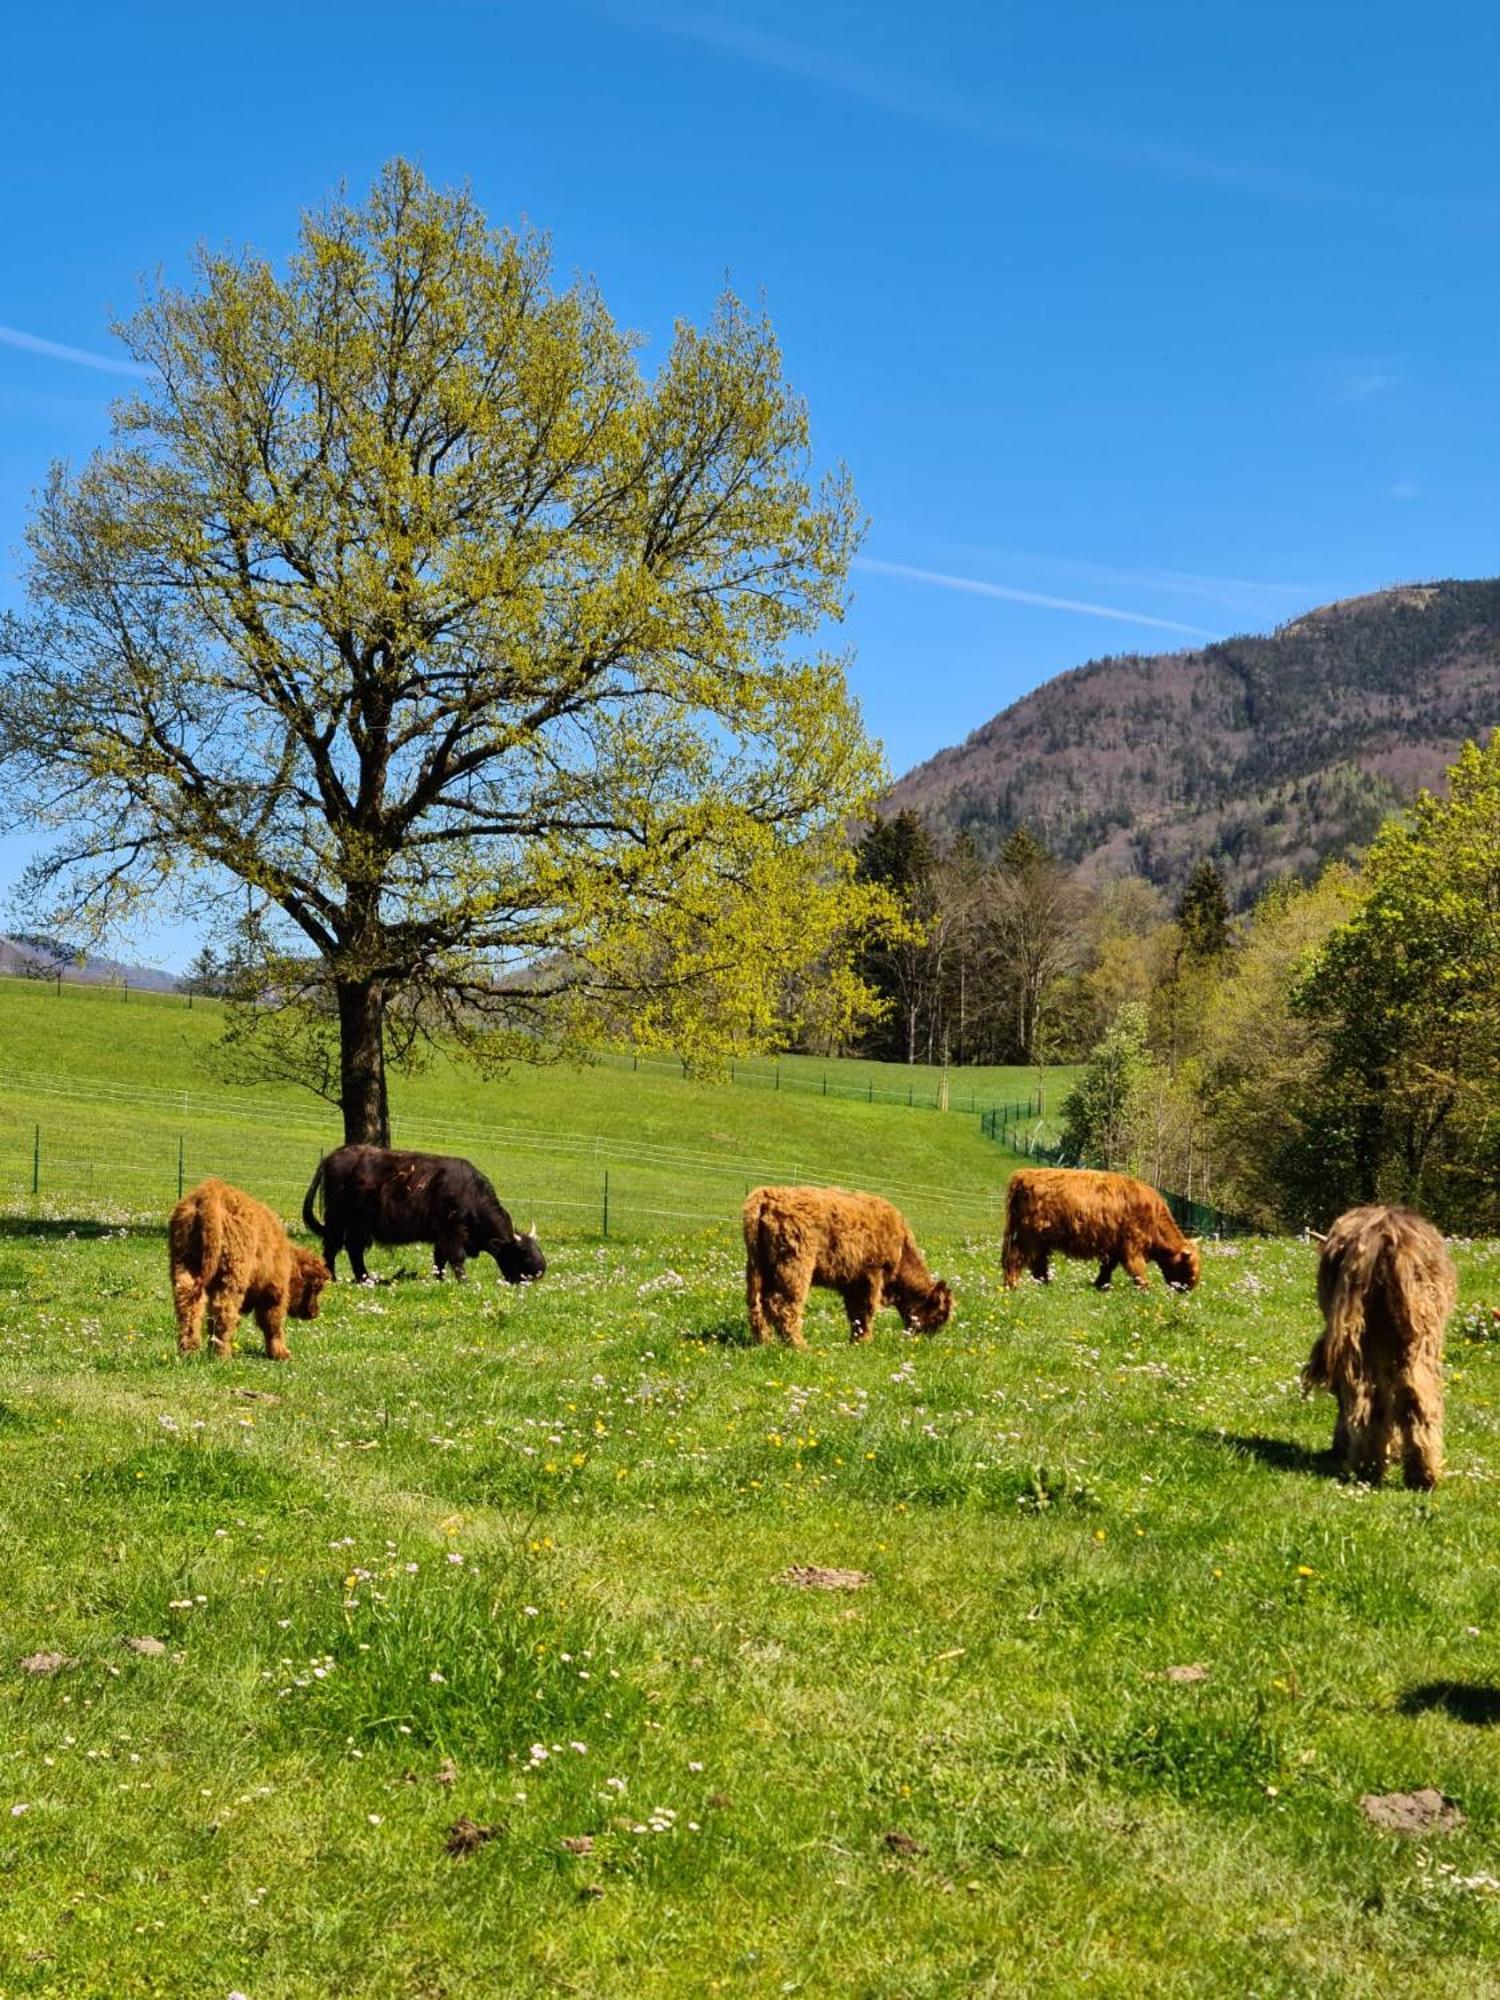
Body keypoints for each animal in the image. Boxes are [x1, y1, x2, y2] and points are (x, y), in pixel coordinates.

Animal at [169, 1168, 330, 1360]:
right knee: (223, 1310)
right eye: (316, 1287)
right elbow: (273, 1323)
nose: (314, 1313)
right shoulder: (274, 1292)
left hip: (185, 1266)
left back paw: (189, 1351)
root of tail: (209, 1194)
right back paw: (222, 1355)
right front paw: (281, 1353)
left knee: (189, 1305)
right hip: (232, 1276)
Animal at [300, 1152, 548, 1288]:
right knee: (333, 1248)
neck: (470, 1195)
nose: (540, 1272)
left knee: (353, 1249)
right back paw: (333, 1278)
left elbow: (439, 1260)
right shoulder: (451, 1232)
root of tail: (332, 1157)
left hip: (356, 1226)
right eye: (523, 1254)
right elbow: (456, 1258)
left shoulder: (441, 1237)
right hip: (339, 1221)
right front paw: (464, 1282)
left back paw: (364, 1278)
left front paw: (439, 1280)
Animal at [748, 1176, 956, 1352]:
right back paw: (801, 1347)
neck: (902, 1248)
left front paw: (855, 1341)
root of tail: (767, 1196)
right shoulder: (871, 1276)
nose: (926, 1339)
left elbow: (855, 1314)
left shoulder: (852, 1284)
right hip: (795, 1267)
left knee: (757, 1304)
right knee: (785, 1307)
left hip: (757, 1267)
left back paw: (765, 1342)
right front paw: (864, 1342)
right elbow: (866, 1311)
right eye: (940, 1315)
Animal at [1004, 1168, 1208, 1288]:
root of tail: (1023, 1176)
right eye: (1188, 1266)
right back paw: (1012, 1286)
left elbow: (1107, 1267)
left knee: (1038, 1262)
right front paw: (1145, 1287)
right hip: (1028, 1236)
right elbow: (1137, 1268)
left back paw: (1045, 1284)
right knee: (1016, 1259)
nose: (1189, 1288)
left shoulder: (1114, 1248)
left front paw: (1101, 1285)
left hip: (1040, 1239)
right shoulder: (1132, 1245)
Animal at [1304, 1200, 1456, 1488]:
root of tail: (1384, 1234)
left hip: (1367, 1338)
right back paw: (1420, 1474)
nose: (1335, 1449)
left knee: (1373, 1397)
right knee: (1412, 1398)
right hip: (1414, 1339)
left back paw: (1372, 1467)